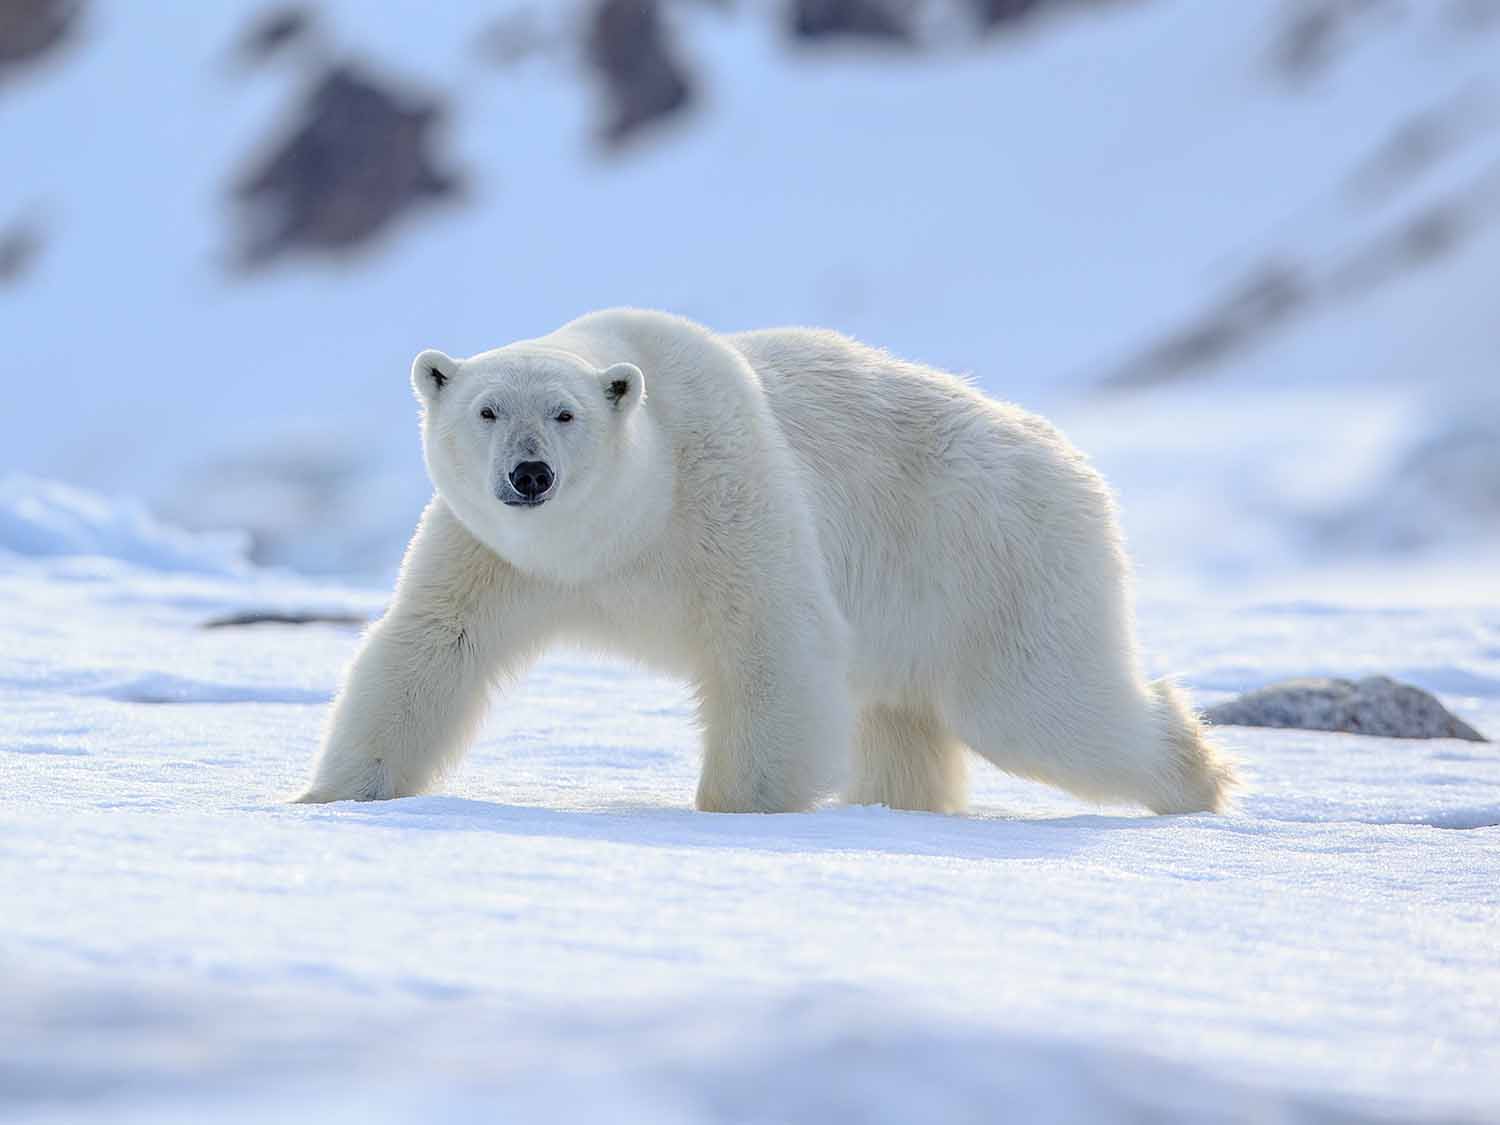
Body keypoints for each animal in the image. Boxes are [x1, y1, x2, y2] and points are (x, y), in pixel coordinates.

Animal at [296, 308, 1236, 814]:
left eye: (565, 414)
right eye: (487, 409)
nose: (530, 475)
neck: (619, 532)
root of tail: (1072, 461)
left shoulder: (725, 491)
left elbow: (772, 641)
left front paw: (738, 810)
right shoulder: (493, 552)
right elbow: (431, 644)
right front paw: (331, 795)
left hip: (994, 558)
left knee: (1041, 704)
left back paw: (1200, 778)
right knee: (904, 721)